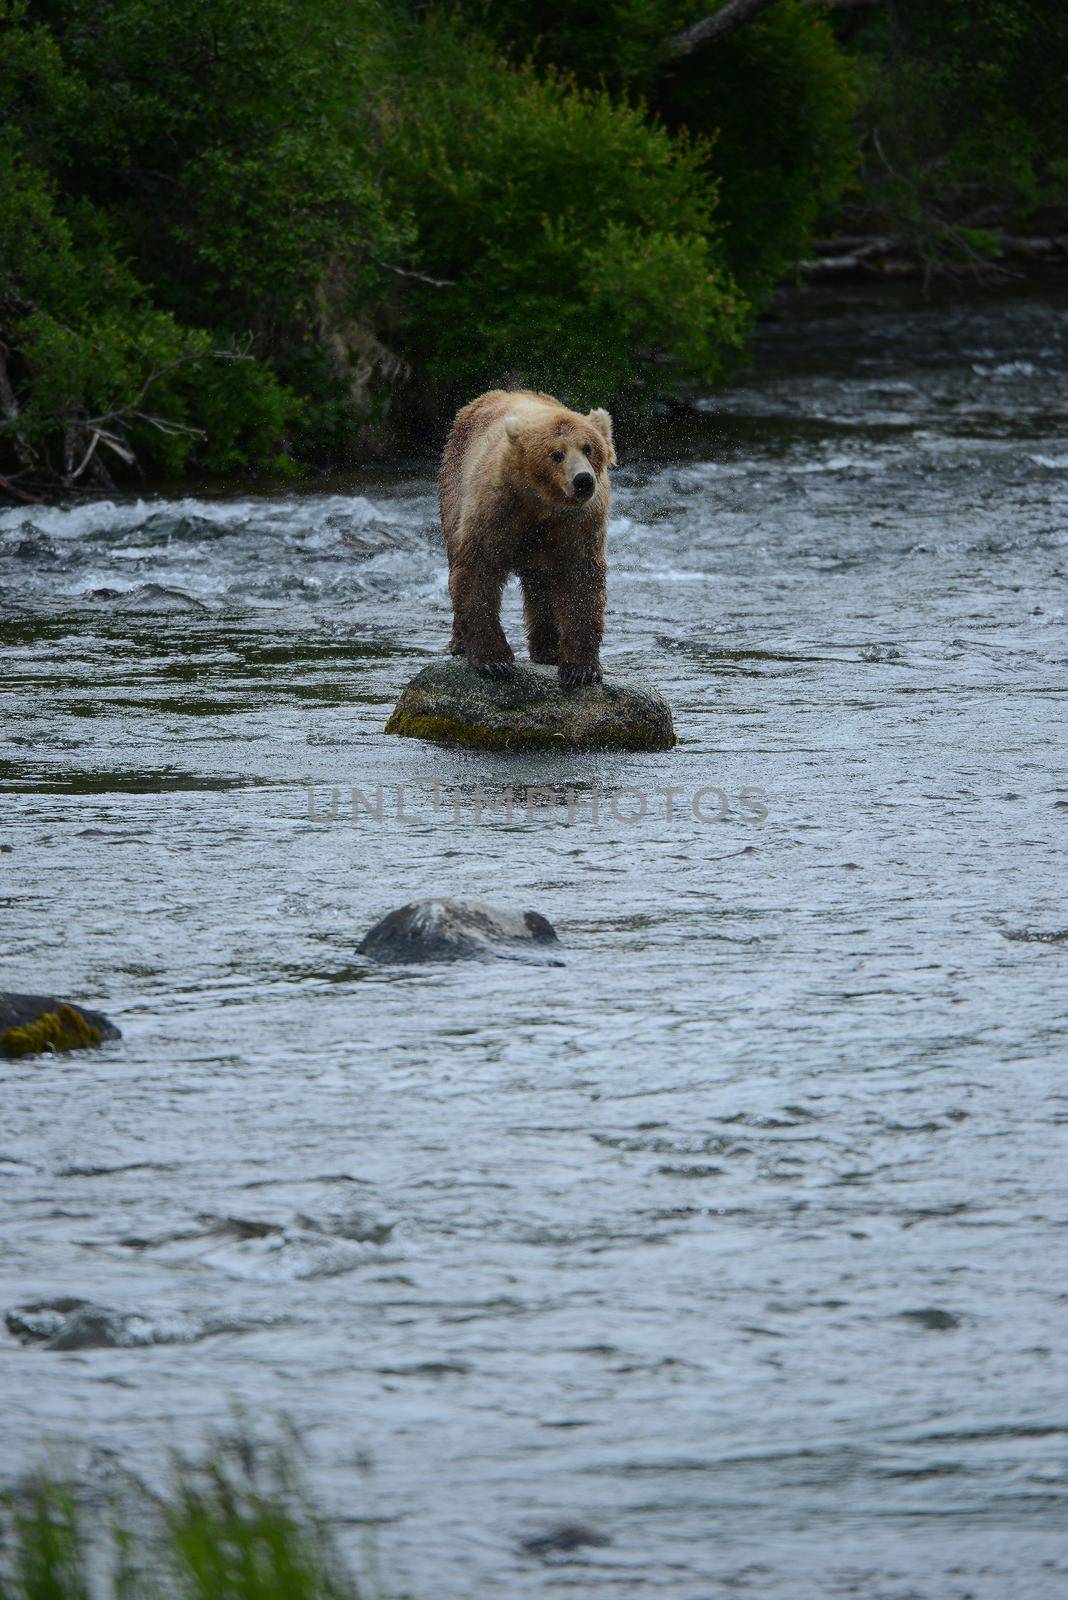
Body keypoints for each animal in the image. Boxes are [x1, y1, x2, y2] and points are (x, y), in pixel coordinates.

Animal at [438, 392, 613, 688]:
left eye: (588, 447)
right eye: (556, 454)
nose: (583, 480)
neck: (541, 504)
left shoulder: (578, 524)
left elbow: (581, 579)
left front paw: (580, 669)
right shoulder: (497, 509)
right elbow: (478, 570)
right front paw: (494, 661)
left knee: (540, 584)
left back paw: (548, 650)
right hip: (454, 480)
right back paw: (459, 642)